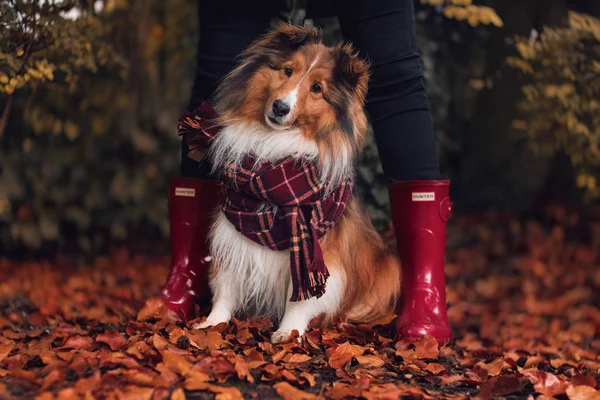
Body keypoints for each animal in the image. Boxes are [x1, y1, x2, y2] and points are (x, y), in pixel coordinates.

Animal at [195, 23, 400, 342]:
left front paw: (288, 331)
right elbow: (227, 284)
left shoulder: (318, 251)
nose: (280, 107)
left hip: (388, 266)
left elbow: (302, 296)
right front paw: (213, 323)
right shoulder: (232, 234)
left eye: (317, 88)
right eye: (287, 71)